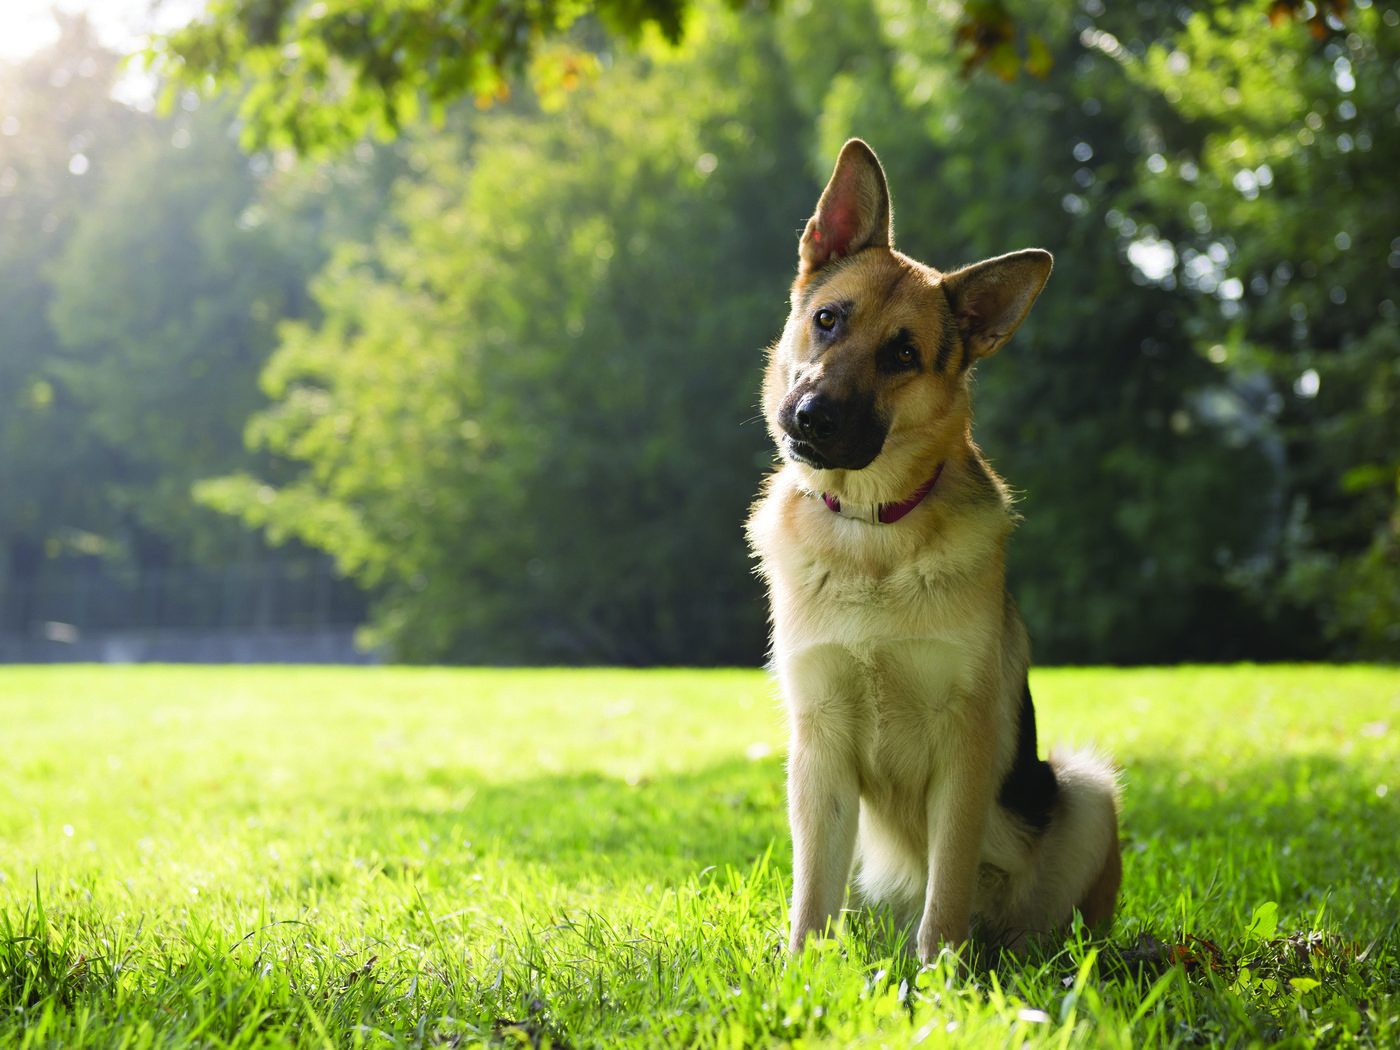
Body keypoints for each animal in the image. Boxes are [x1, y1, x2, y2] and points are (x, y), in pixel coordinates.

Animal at [750, 140, 1120, 963]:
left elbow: (946, 887)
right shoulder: (818, 747)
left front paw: (942, 976)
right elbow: (810, 897)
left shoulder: (966, 745)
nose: (811, 418)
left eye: (903, 354)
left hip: (1084, 789)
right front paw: (799, 974)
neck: (872, 531)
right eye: (828, 320)